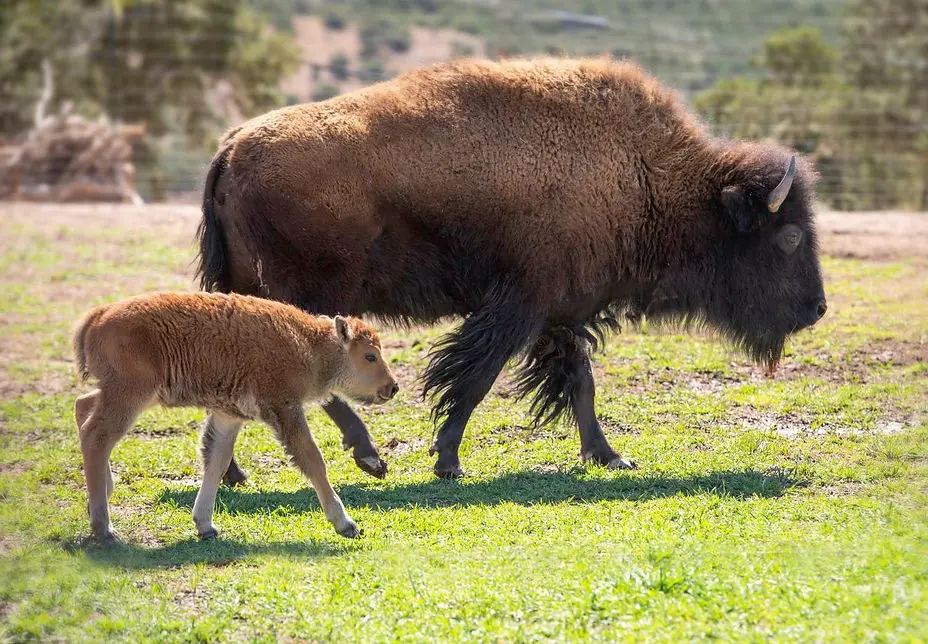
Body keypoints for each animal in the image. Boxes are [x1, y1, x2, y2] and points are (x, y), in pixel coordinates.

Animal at [194, 57, 827, 480]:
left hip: (245, 290)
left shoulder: (560, 312)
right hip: (309, 292)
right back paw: (367, 455)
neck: (652, 177)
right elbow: (475, 379)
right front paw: (448, 461)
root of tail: (232, 146)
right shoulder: (518, 307)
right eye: (790, 236)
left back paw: (237, 474)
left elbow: (580, 381)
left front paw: (610, 456)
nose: (818, 308)